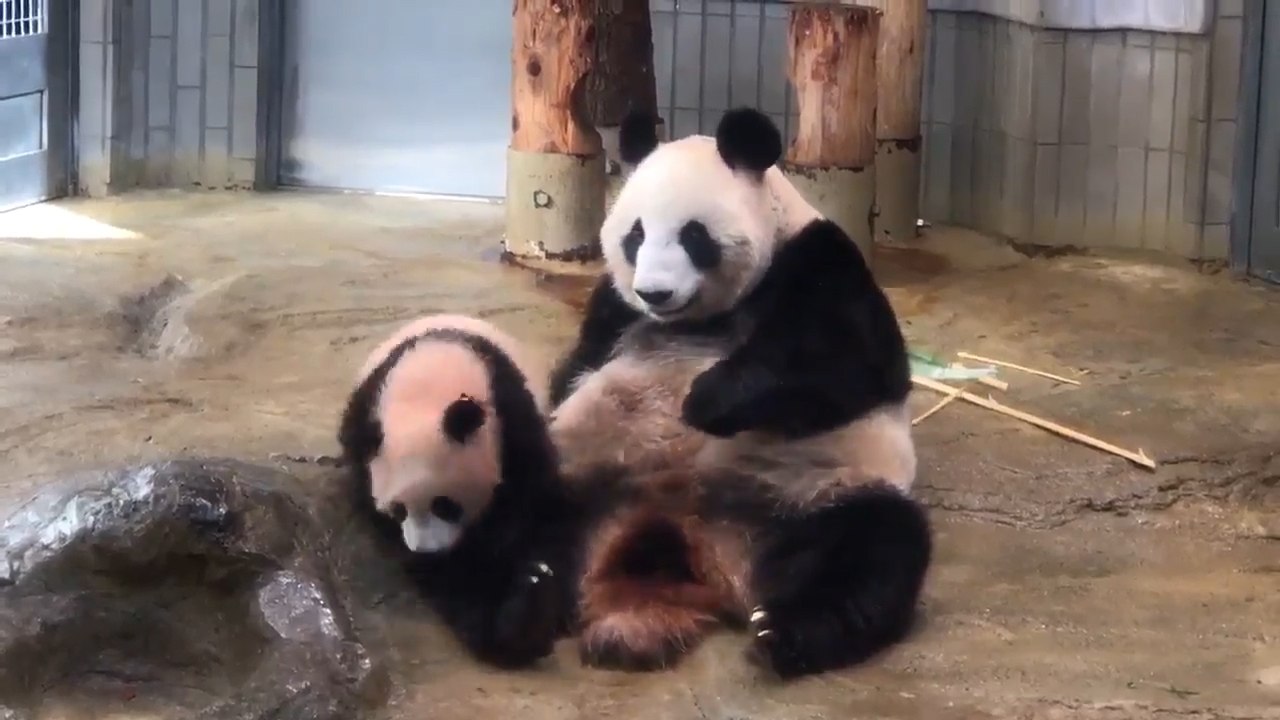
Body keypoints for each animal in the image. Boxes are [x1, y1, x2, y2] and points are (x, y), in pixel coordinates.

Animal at [338, 313, 577, 669]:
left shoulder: (512, 419)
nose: (426, 551)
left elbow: (528, 506)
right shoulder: (363, 432)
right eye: (398, 510)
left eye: (444, 505)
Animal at [547, 107, 932, 679]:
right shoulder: (613, 307)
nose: (655, 293)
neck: (700, 317)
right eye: (635, 235)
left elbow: (852, 362)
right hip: (585, 479)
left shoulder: (817, 261)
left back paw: (787, 632)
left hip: (806, 494)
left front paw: (704, 401)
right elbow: (578, 367)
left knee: (871, 550)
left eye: (693, 235)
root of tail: (690, 546)